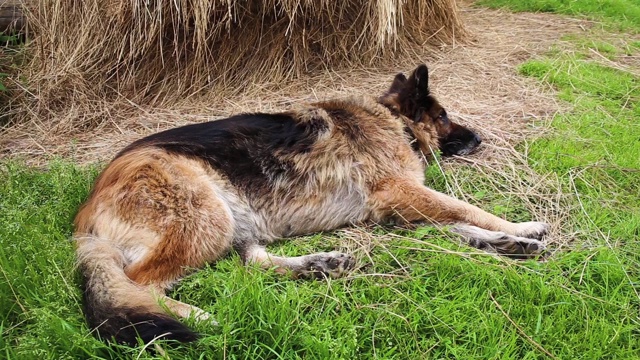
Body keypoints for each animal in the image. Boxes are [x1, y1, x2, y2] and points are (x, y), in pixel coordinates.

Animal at [72, 64, 548, 346]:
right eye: (445, 115)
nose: (481, 138)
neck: (392, 121)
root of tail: (86, 214)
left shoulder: (399, 209)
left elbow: (457, 225)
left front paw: (506, 242)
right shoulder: (399, 193)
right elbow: (466, 209)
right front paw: (519, 227)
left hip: (239, 216)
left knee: (251, 263)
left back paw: (317, 264)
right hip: (208, 215)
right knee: (139, 283)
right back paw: (200, 316)